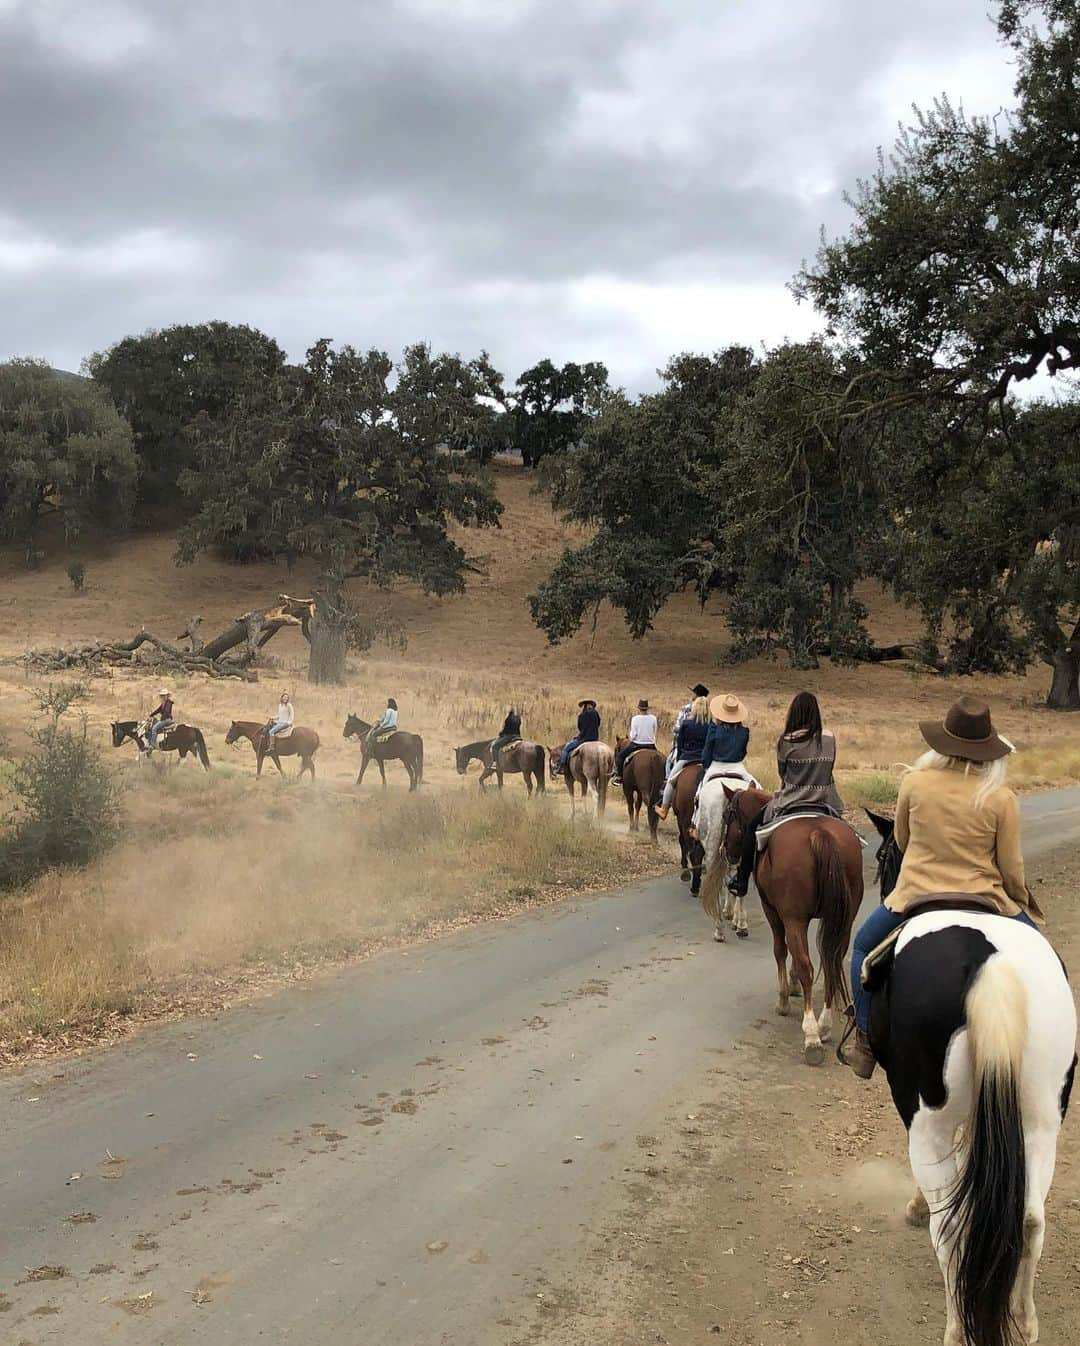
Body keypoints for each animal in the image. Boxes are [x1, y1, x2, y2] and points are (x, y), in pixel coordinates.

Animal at [721, 786, 861, 1060]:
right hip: (843, 920)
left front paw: (784, 998)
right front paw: (793, 983)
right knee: (832, 961)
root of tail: (819, 833)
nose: (728, 852)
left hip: (793, 917)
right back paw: (824, 1026)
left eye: (727, 816)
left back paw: (812, 1035)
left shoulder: (775, 912)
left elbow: (781, 950)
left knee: (809, 965)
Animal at [856, 807, 1066, 1346]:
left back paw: (955, 1328)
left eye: (884, 855)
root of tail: (990, 966)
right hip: (1040, 1120)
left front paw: (914, 1206)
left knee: (950, 1227)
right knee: (1030, 1220)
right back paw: (1026, 1322)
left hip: (928, 1119)